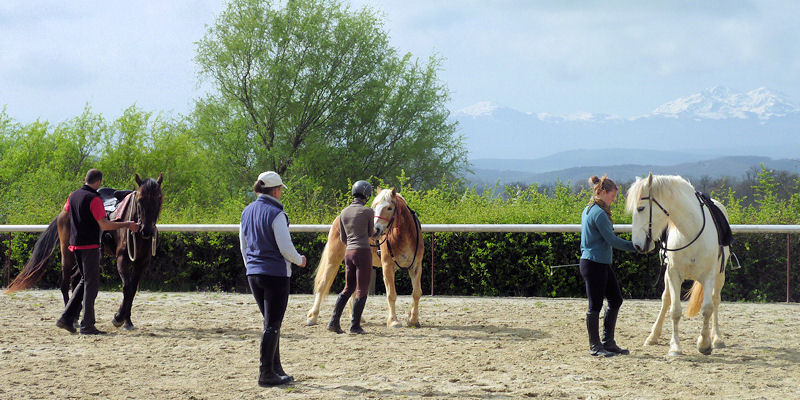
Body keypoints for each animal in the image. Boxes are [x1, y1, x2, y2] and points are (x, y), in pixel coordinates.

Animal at [5, 173, 162, 330]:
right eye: (140, 199)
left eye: (159, 199)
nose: (147, 230)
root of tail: (64, 212)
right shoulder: (122, 258)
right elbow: (127, 287)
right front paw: (118, 317)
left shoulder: (142, 261)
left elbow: (133, 289)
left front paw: (127, 321)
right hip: (67, 253)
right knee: (64, 283)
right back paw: (68, 318)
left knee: (76, 280)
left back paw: (74, 316)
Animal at [304, 189, 424, 330]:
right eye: (374, 207)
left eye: (389, 208)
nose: (376, 230)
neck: (403, 236)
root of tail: (339, 218)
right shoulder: (387, 267)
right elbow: (391, 294)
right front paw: (393, 321)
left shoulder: (416, 267)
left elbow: (417, 293)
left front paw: (413, 319)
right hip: (333, 259)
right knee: (323, 284)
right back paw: (312, 317)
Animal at [624, 173, 732, 354]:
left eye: (641, 208)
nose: (637, 245)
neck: (691, 232)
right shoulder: (673, 274)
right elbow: (674, 310)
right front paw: (675, 346)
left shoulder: (709, 276)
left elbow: (707, 308)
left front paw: (704, 343)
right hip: (668, 275)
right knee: (666, 299)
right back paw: (653, 336)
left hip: (720, 276)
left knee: (716, 300)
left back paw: (717, 338)